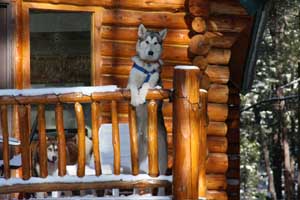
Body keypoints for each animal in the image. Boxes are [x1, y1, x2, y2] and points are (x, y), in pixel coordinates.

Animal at [127, 24, 169, 176]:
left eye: (155, 43)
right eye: (147, 41)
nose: (150, 52)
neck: (147, 66)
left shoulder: (156, 85)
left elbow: (146, 85)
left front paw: (141, 96)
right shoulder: (129, 84)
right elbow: (134, 87)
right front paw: (135, 99)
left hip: (161, 156)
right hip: (136, 152)